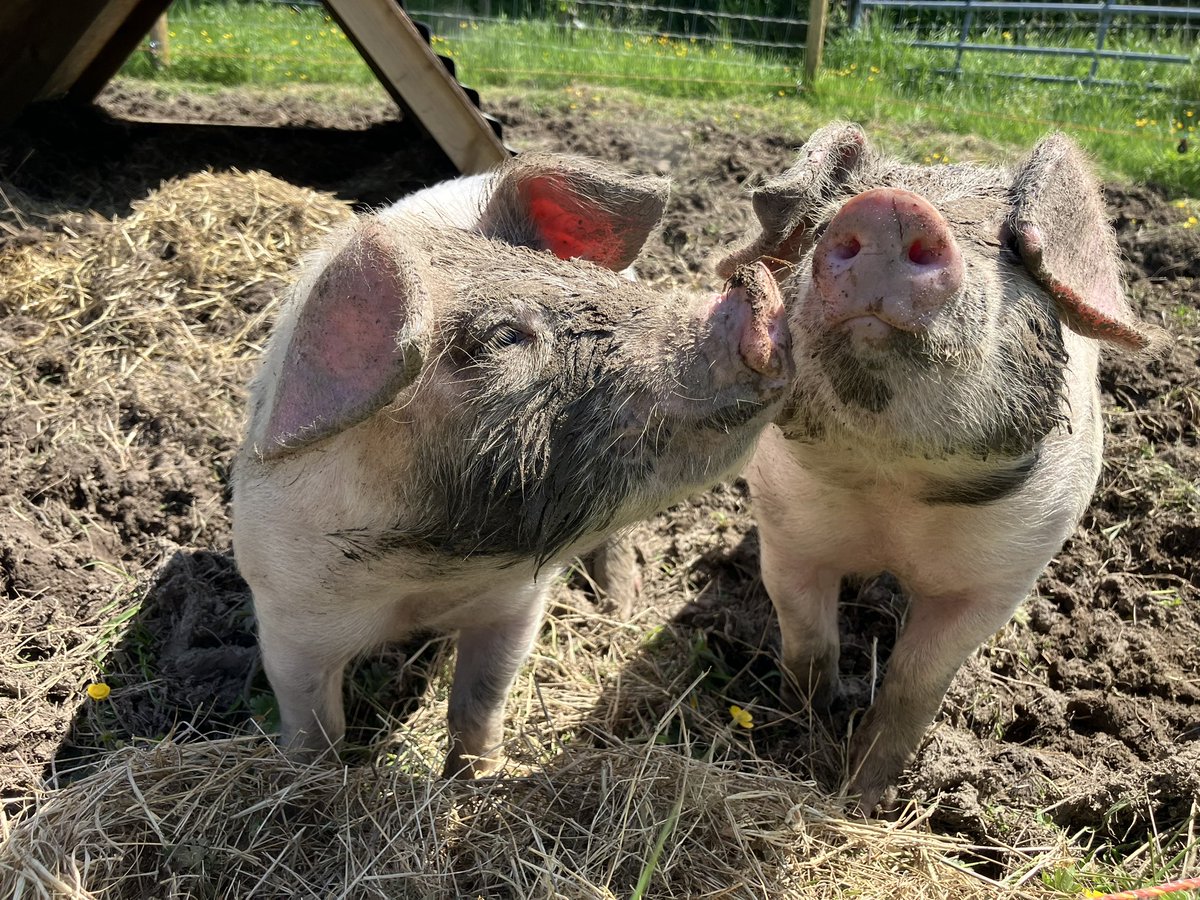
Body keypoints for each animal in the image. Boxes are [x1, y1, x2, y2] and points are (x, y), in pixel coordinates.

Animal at [231, 152, 794, 778]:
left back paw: (619, 601)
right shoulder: (288, 614)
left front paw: (479, 777)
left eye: (587, 283)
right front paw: (312, 779)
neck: (432, 574)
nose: (754, 288)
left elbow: (481, 701)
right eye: (504, 336)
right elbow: (316, 727)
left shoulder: (517, 603)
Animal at [715, 124, 1164, 812]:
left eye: (1008, 247)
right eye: (820, 221)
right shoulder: (786, 533)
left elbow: (916, 680)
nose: (890, 209)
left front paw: (865, 798)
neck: (891, 490)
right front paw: (799, 743)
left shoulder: (1001, 577)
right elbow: (808, 646)